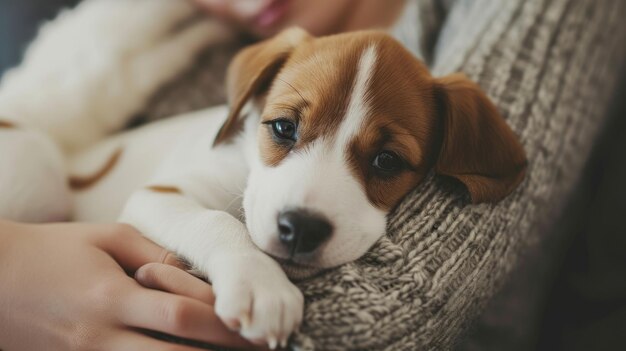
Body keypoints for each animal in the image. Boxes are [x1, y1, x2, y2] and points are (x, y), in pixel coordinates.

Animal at [68, 27, 528, 350]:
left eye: (387, 161)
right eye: (284, 128)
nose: (302, 229)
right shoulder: (158, 195)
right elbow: (216, 220)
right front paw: (258, 282)